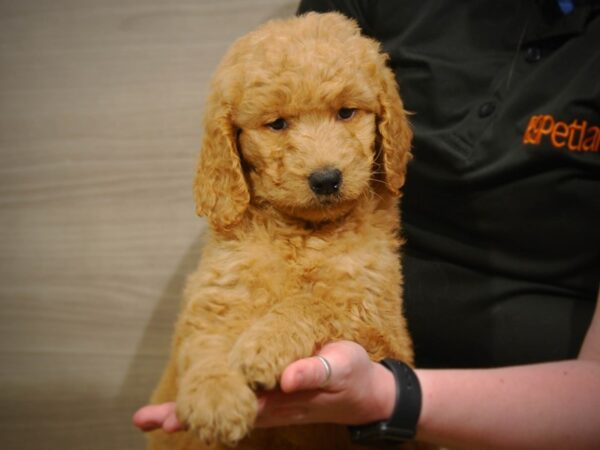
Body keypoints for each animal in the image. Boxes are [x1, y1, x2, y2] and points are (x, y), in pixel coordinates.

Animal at [148, 11, 414, 450]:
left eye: (346, 113)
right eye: (277, 124)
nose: (326, 179)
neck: (303, 233)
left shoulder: (379, 325)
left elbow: (317, 302)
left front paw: (263, 344)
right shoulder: (219, 293)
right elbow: (205, 341)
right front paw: (215, 397)